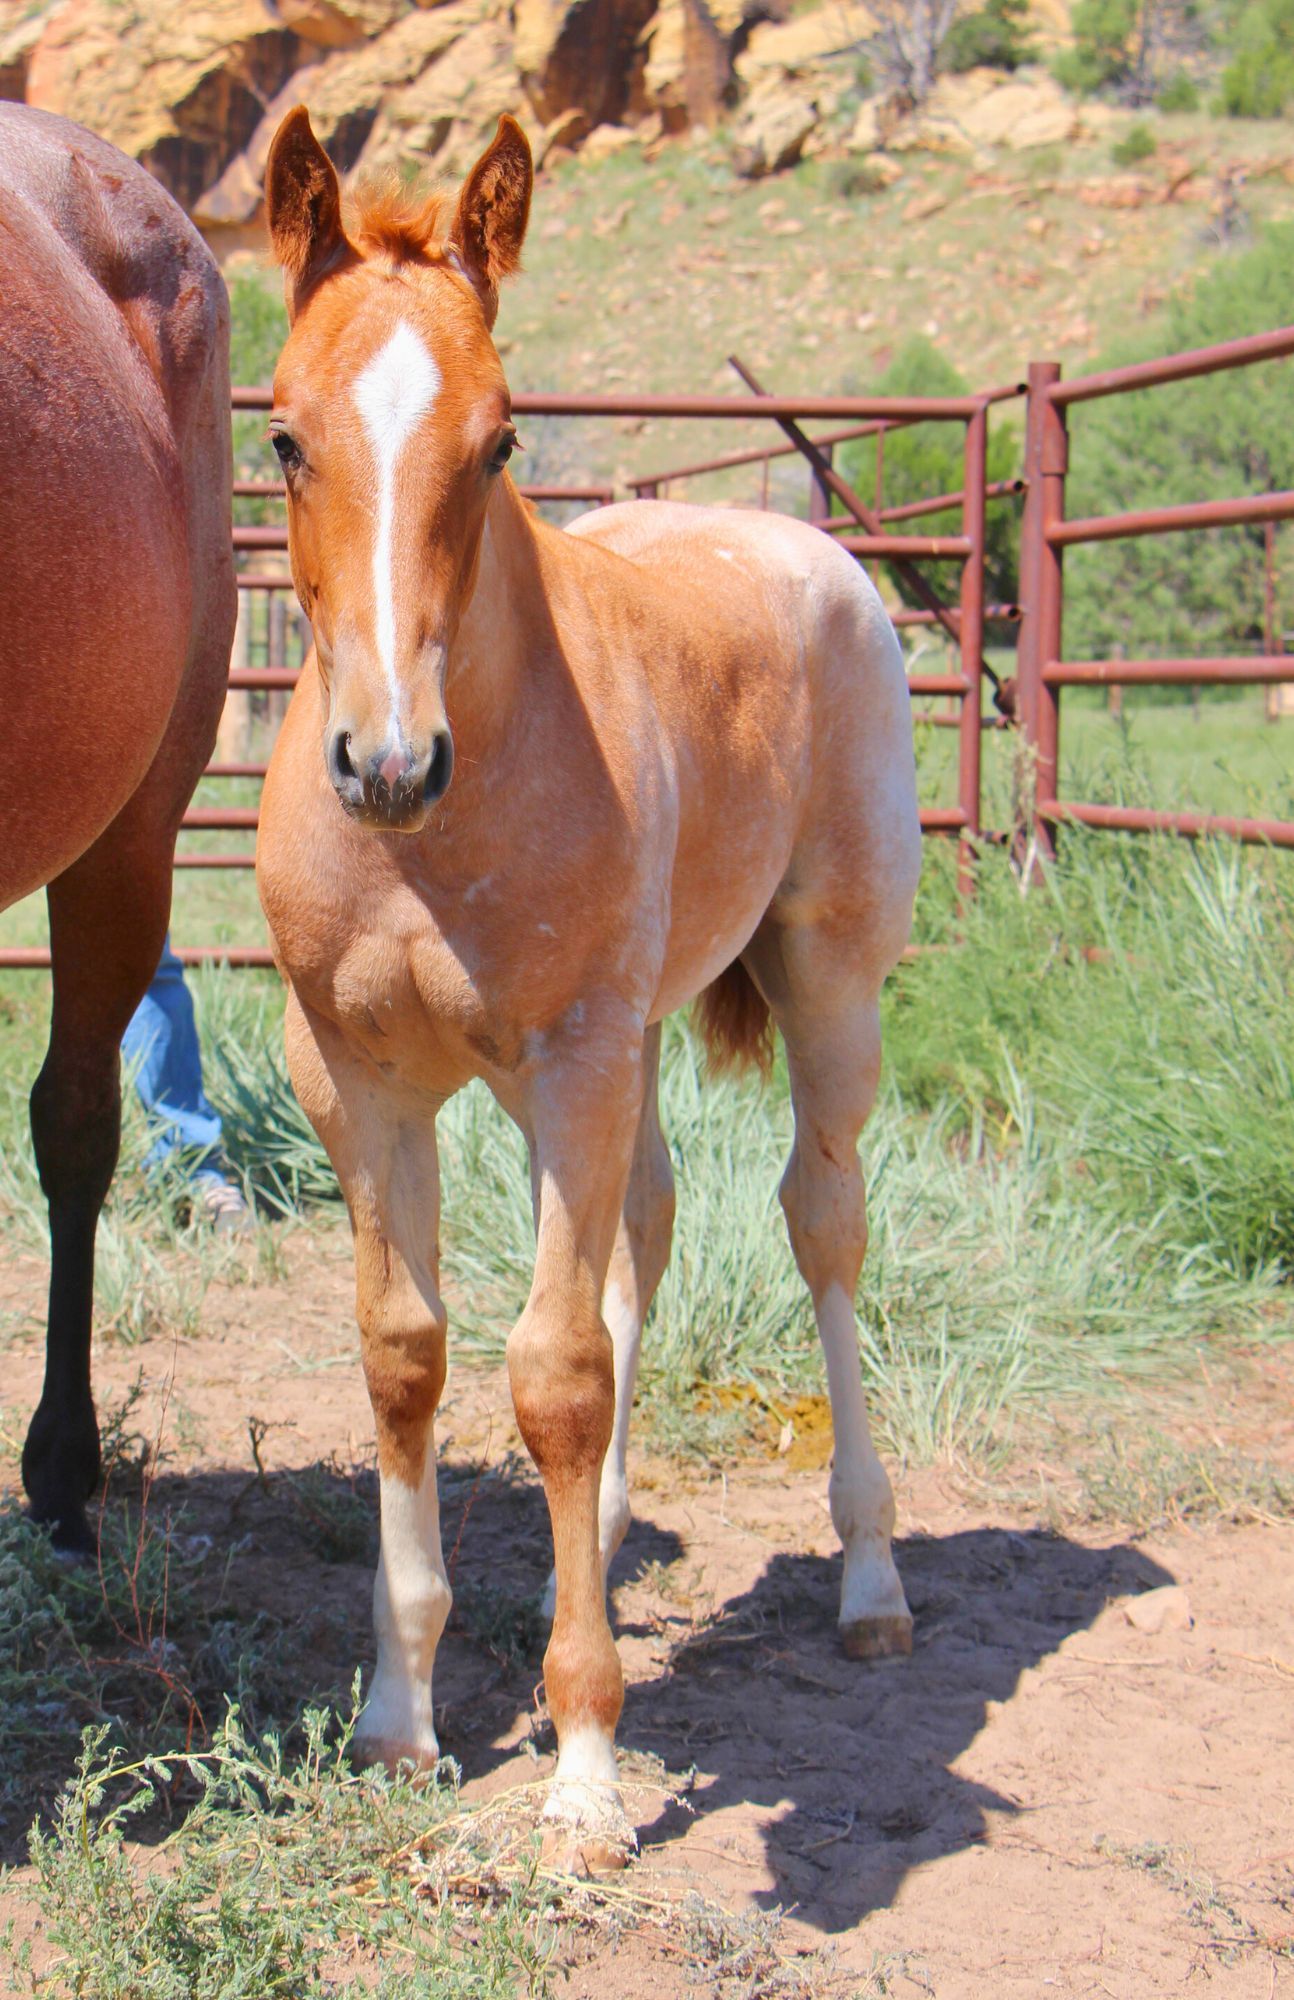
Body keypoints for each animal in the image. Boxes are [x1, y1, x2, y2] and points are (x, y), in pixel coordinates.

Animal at [256, 106, 921, 1863]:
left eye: (499, 442)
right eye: (280, 439)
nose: (388, 764)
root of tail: (791, 532)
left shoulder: (574, 1055)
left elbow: (550, 1374)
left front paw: (584, 1766)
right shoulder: (360, 1078)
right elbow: (404, 1355)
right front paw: (400, 1720)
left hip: (823, 982)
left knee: (821, 1228)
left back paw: (873, 1582)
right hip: (612, 1054)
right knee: (652, 1218)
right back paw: (613, 1533)